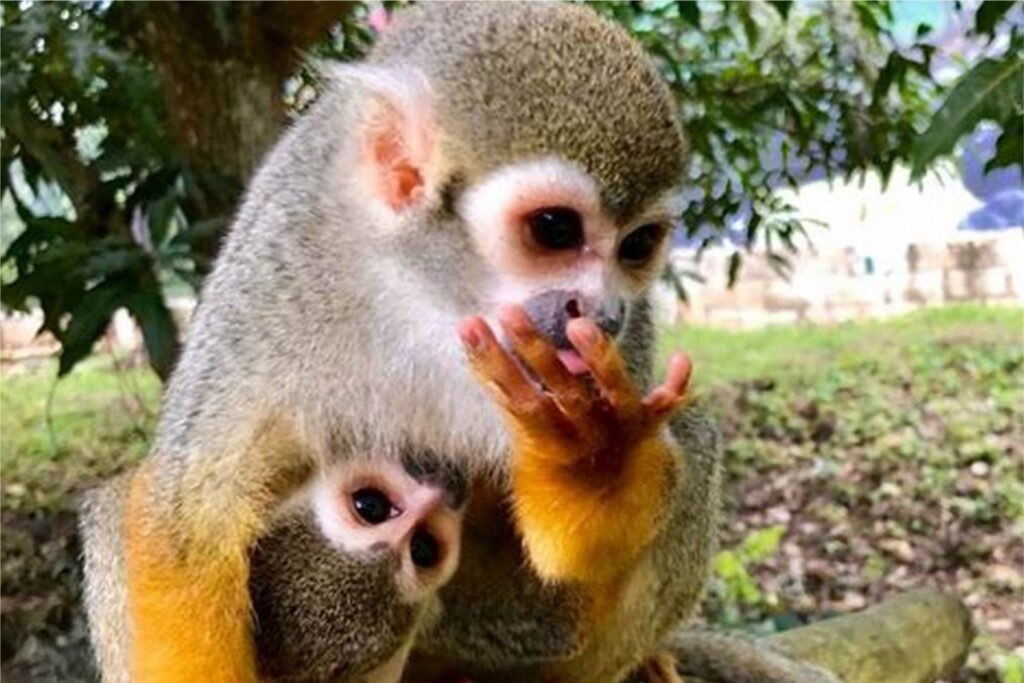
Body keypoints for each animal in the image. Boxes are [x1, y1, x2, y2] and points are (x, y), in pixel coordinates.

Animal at [79, 3, 839, 682]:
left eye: (638, 245)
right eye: (556, 230)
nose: (602, 310)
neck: (438, 294)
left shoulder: (622, 351)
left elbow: (569, 561)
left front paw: (595, 458)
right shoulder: (278, 261)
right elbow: (191, 512)